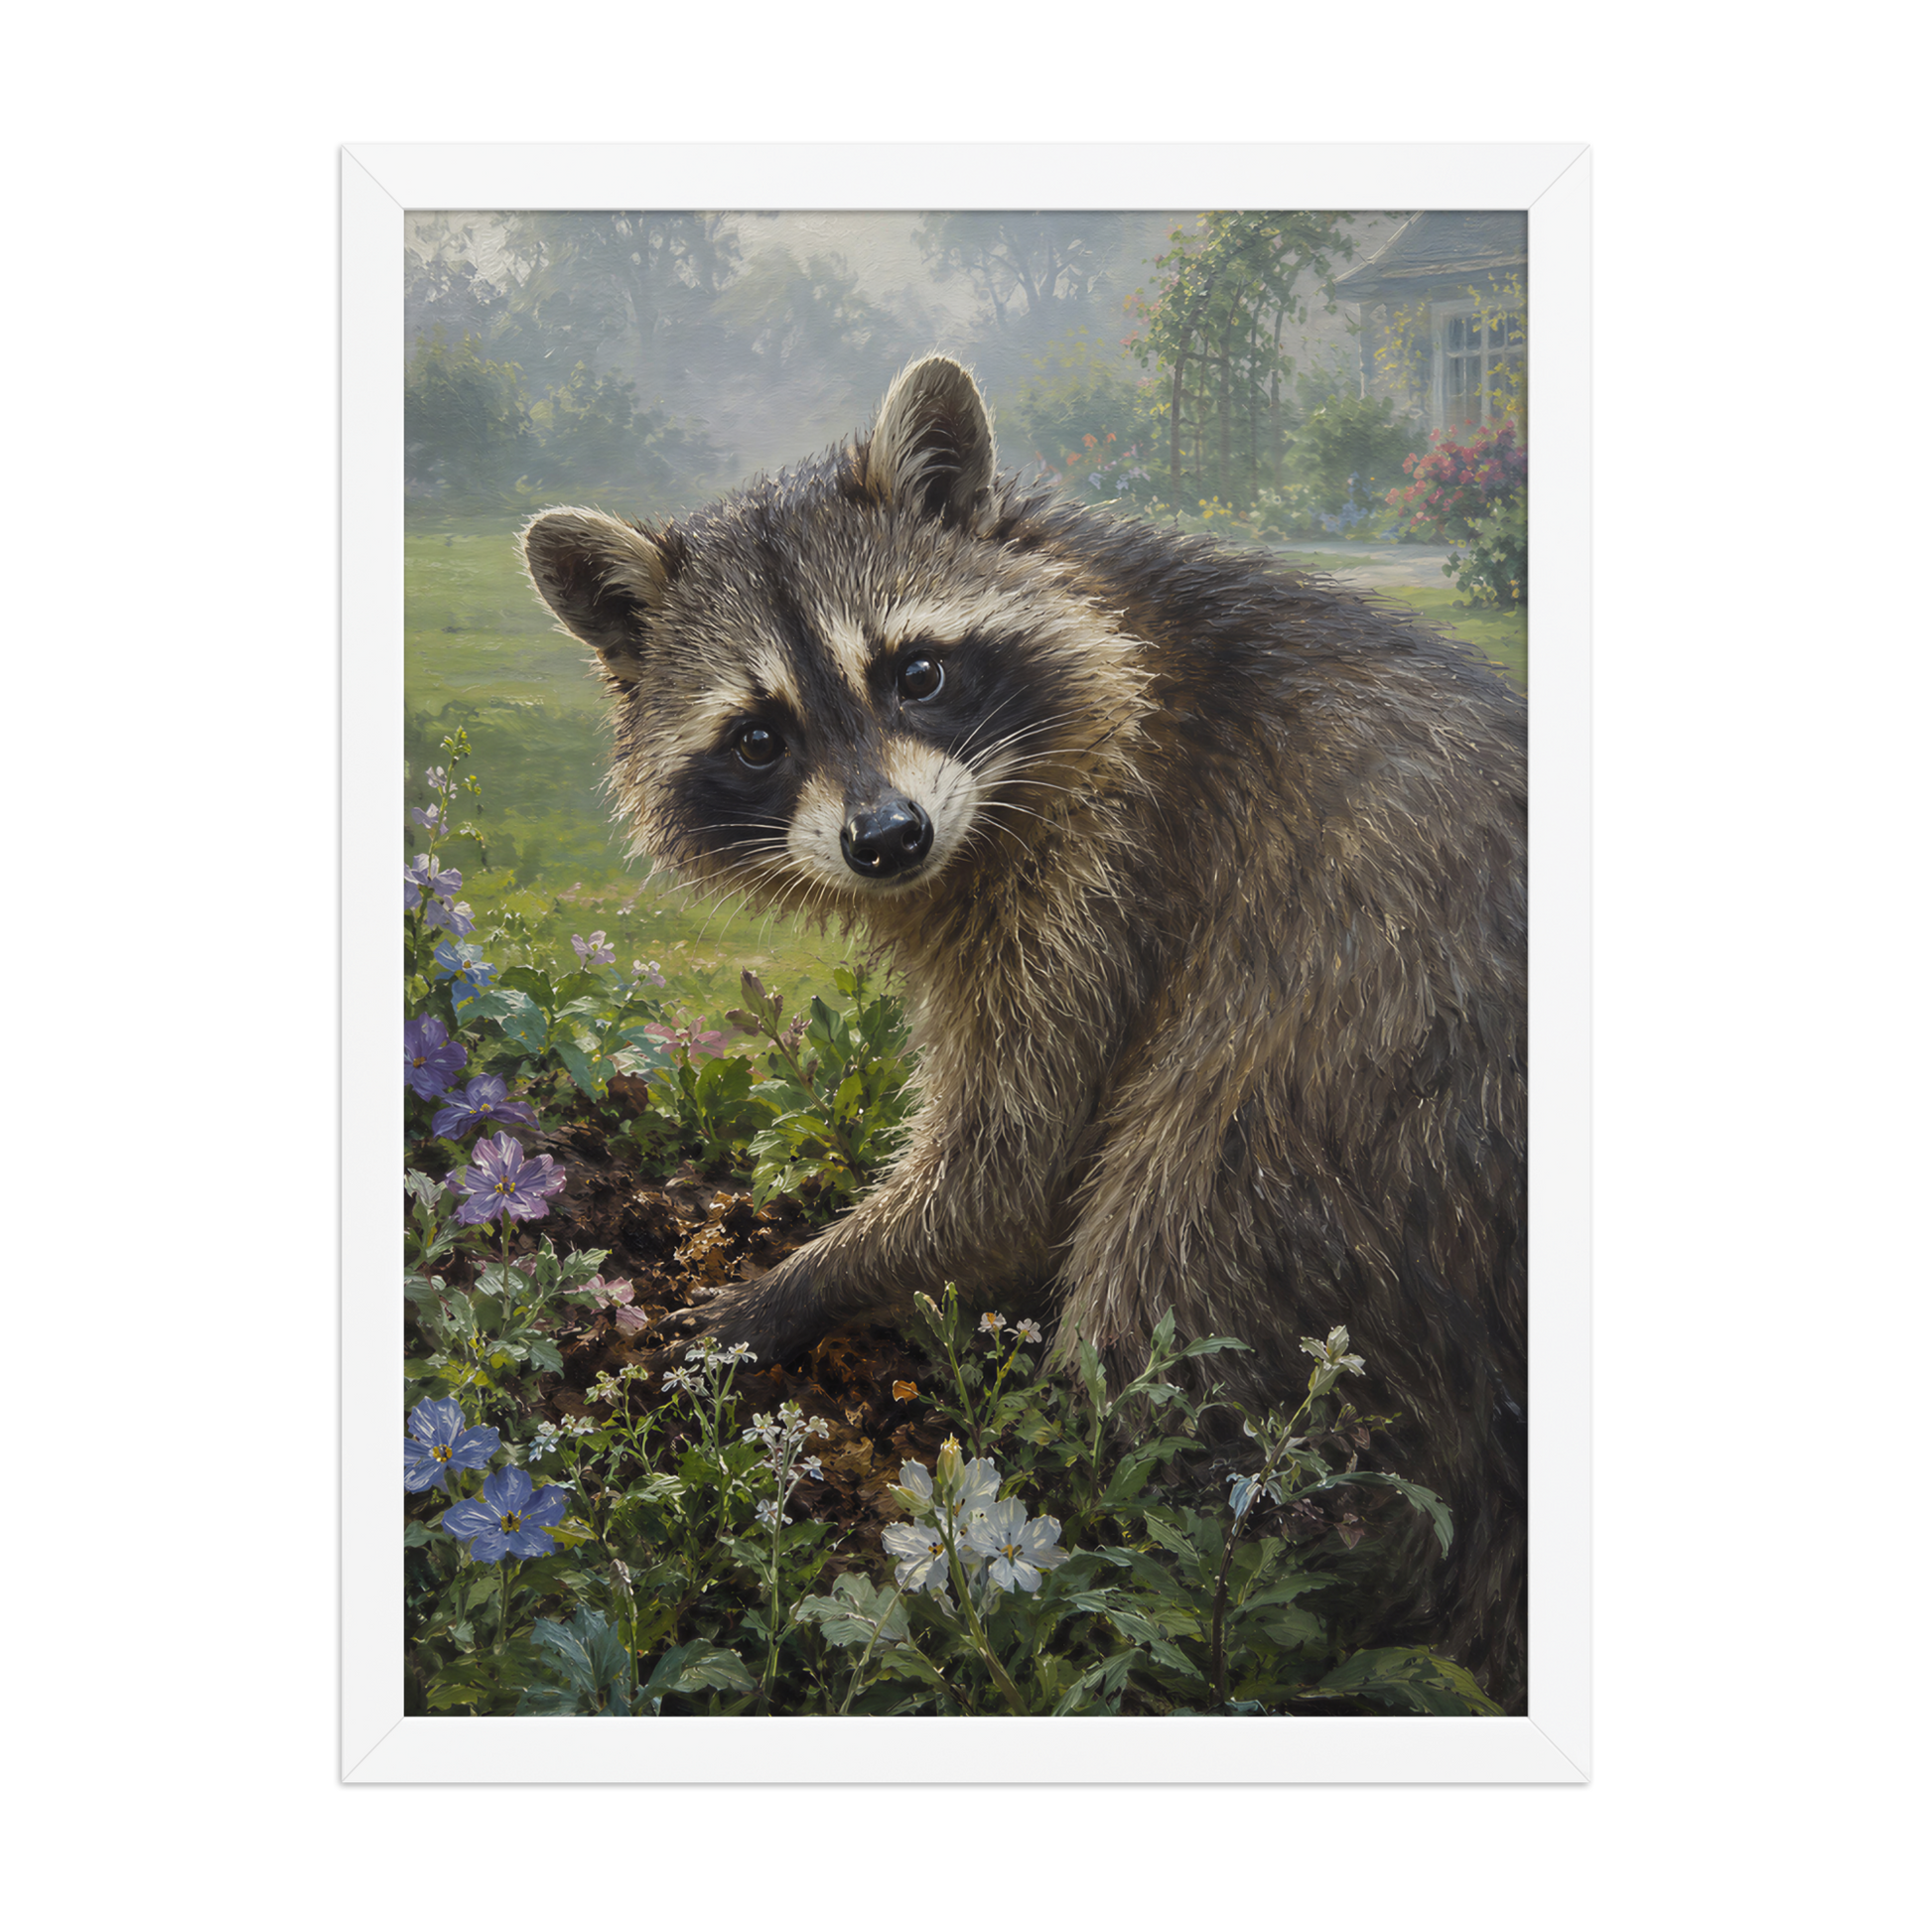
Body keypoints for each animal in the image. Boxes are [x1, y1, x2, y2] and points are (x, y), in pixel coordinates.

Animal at [520, 354, 1528, 1708]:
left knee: (1168, 1260)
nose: (887, 838)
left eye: (917, 672)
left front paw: (797, 1284)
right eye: (758, 735)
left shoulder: (1111, 867)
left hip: (1340, 1121)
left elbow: (1010, 1168)